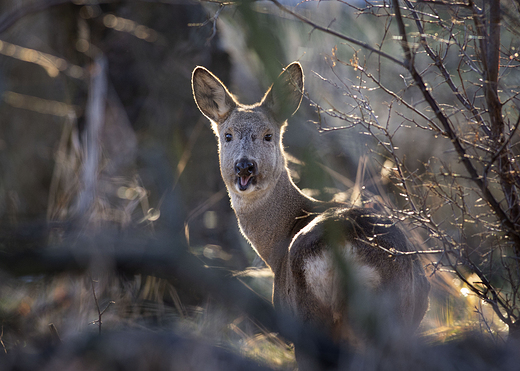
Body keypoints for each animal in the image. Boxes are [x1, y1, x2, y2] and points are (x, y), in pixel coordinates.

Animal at [193, 61, 428, 370]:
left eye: (269, 135)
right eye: (227, 135)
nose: (244, 166)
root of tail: (345, 244)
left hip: (310, 316)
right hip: (394, 321)